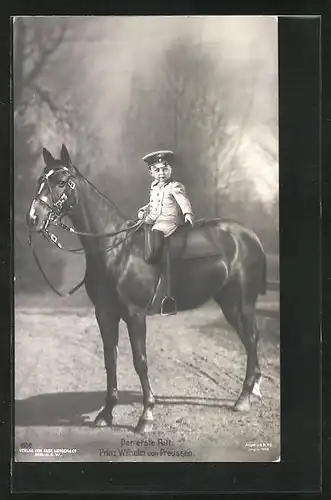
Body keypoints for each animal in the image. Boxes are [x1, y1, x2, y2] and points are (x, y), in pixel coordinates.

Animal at [27, 144, 268, 434]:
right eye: (41, 180)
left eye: (61, 182)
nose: (33, 218)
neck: (116, 251)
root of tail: (250, 236)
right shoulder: (105, 315)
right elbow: (110, 360)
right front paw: (106, 413)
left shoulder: (135, 315)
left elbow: (140, 361)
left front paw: (146, 416)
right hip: (229, 304)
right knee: (248, 341)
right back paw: (251, 390)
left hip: (241, 303)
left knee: (252, 341)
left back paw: (243, 398)